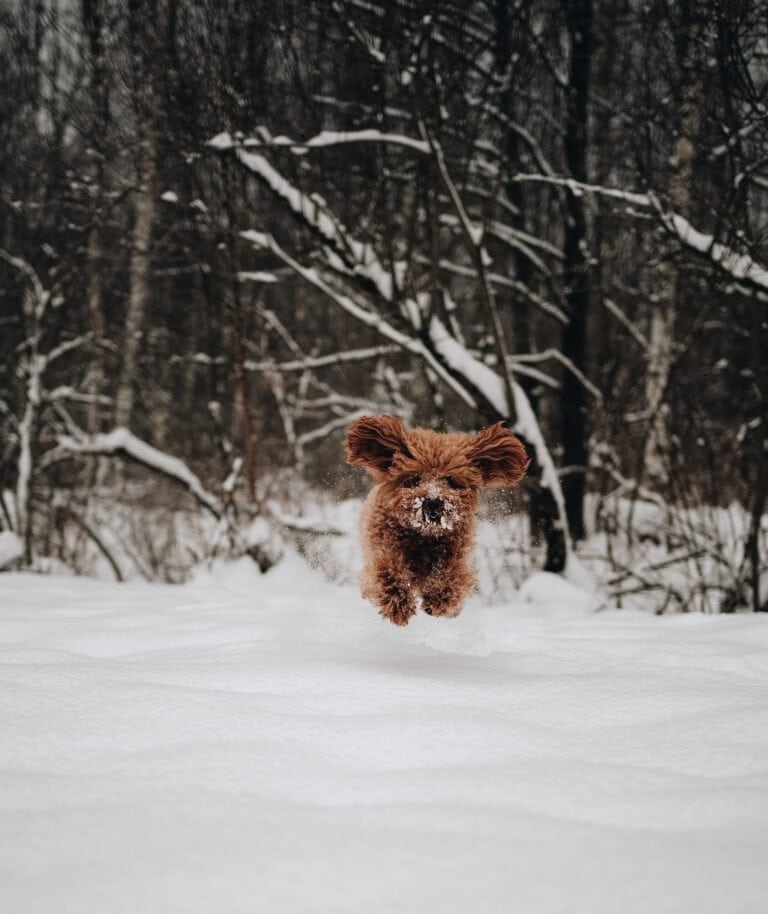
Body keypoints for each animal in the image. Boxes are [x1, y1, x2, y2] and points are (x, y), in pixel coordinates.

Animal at [346, 416, 528, 624]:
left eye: (451, 481)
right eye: (414, 479)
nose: (432, 502)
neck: (423, 537)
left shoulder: (456, 560)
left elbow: (451, 581)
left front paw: (439, 601)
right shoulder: (382, 551)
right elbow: (387, 574)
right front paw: (398, 605)